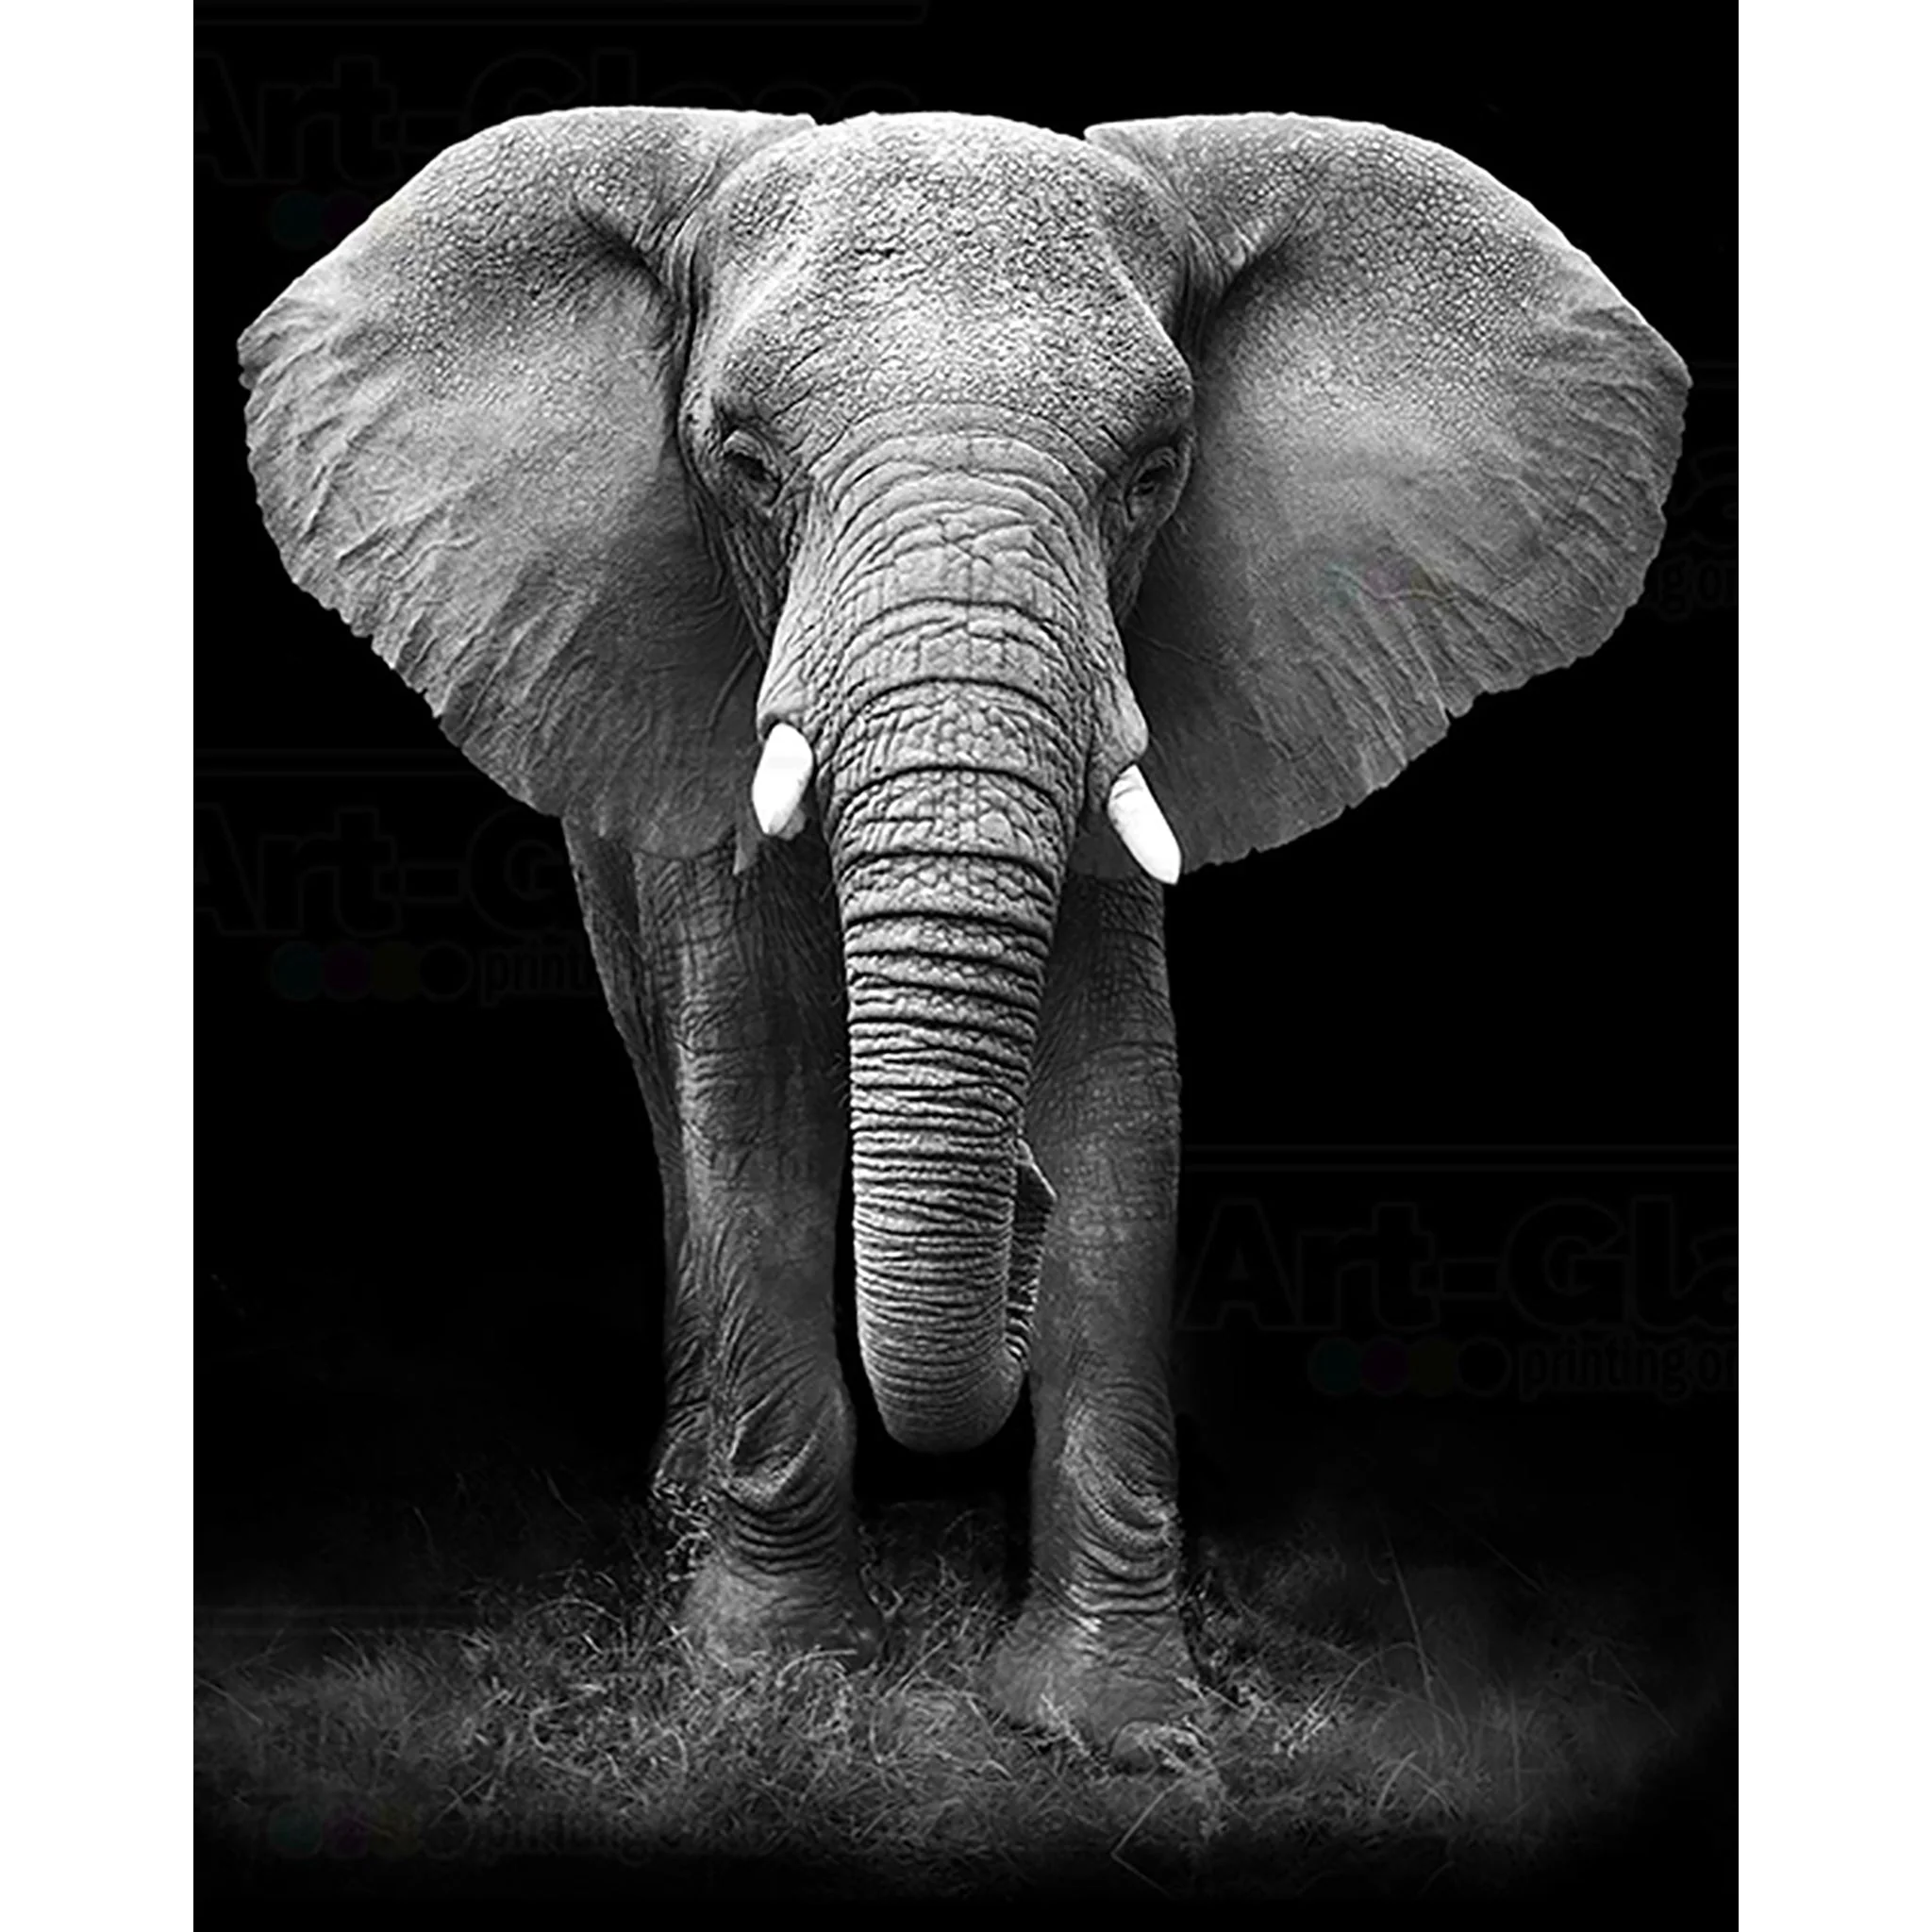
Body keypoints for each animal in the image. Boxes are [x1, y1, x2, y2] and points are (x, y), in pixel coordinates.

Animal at [238, 108, 1686, 1764]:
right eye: (743, 464)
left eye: (1154, 472)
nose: (1016, 1203)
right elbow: (758, 1101)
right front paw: (773, 1683)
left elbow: (1125, 1108)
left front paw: (1110, 1722)